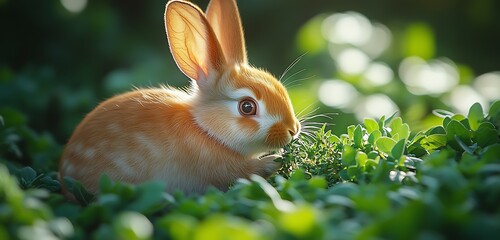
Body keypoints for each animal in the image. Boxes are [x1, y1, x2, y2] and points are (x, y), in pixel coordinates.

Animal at [58, 0, 300, 197]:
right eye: (247, 107)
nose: (293, 129)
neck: (203, 129)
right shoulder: (217, 166)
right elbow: (247, 171)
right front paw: (274, 160)